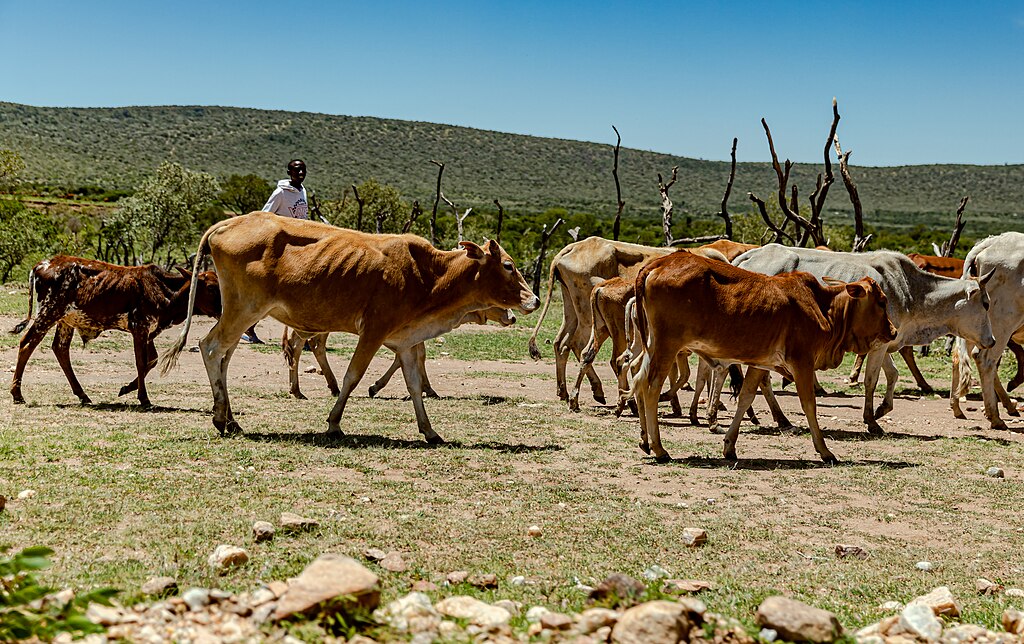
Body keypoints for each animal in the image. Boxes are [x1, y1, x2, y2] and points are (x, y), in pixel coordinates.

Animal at [10, 256, 221, 407]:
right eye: (211, 287)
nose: (223, 309)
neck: (165, 290)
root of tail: (43, 264)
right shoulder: (140, 329)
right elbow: (141, 362)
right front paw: (144, 398)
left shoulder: (148, 332)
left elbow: (151, 360)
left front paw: (127, 388)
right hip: (48, 313)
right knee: (27, 343)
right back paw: (17, 394)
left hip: (65, 320)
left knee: (60, 349)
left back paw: (82, 395)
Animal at [282, 307, 516, 399]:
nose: (513, 317)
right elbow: (418, 356)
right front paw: (427, 389)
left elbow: (407, 358)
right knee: (298, 345)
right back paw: (298, 390)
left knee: (313, 345)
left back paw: (330, 387)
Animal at [631, 252, 896, 463]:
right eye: (882, 301)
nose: (893, 331)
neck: (822, 306)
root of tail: (661, 262)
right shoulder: (802, 362)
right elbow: (809, 404)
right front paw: (825, 450)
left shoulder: (760, 364)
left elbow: (746, 397)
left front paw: (730, 446)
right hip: (667, 346)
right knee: (651, 387)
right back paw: (659, 448)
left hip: (652, 347)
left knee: (639, 380)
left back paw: (645, 441)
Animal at [734, 244, 996, 433]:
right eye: (985, 303)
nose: (992, 341)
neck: (912, 291)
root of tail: (748, 255)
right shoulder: (878, 345)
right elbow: (871, 381)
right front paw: (871, 420)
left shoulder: (887, 341)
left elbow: (893, 375)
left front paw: (882, 409)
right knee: (762, 379)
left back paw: (779, 419)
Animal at [950, 232, 1024, 429]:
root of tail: (992, 241)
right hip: (1002, 321)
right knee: (985, 360)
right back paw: (995, 416)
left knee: (959, 356)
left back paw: (957, 407)